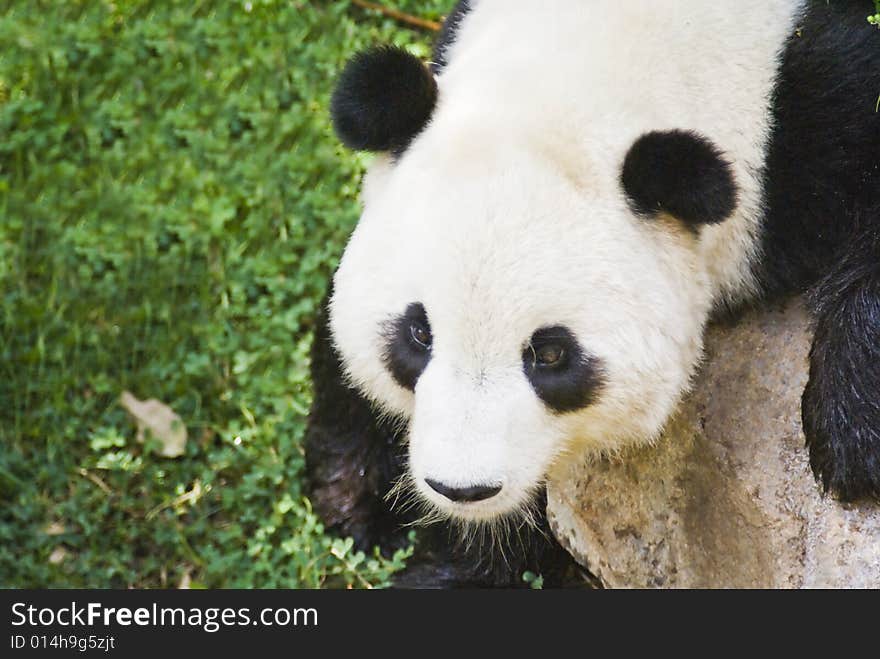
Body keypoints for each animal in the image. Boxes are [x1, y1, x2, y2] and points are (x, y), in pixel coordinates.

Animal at [306, 0, 880, 588]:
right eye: (418, 334)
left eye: (550, 354)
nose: (462, 488)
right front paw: (361, 501)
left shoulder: (803, 116)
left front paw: (851, 434)